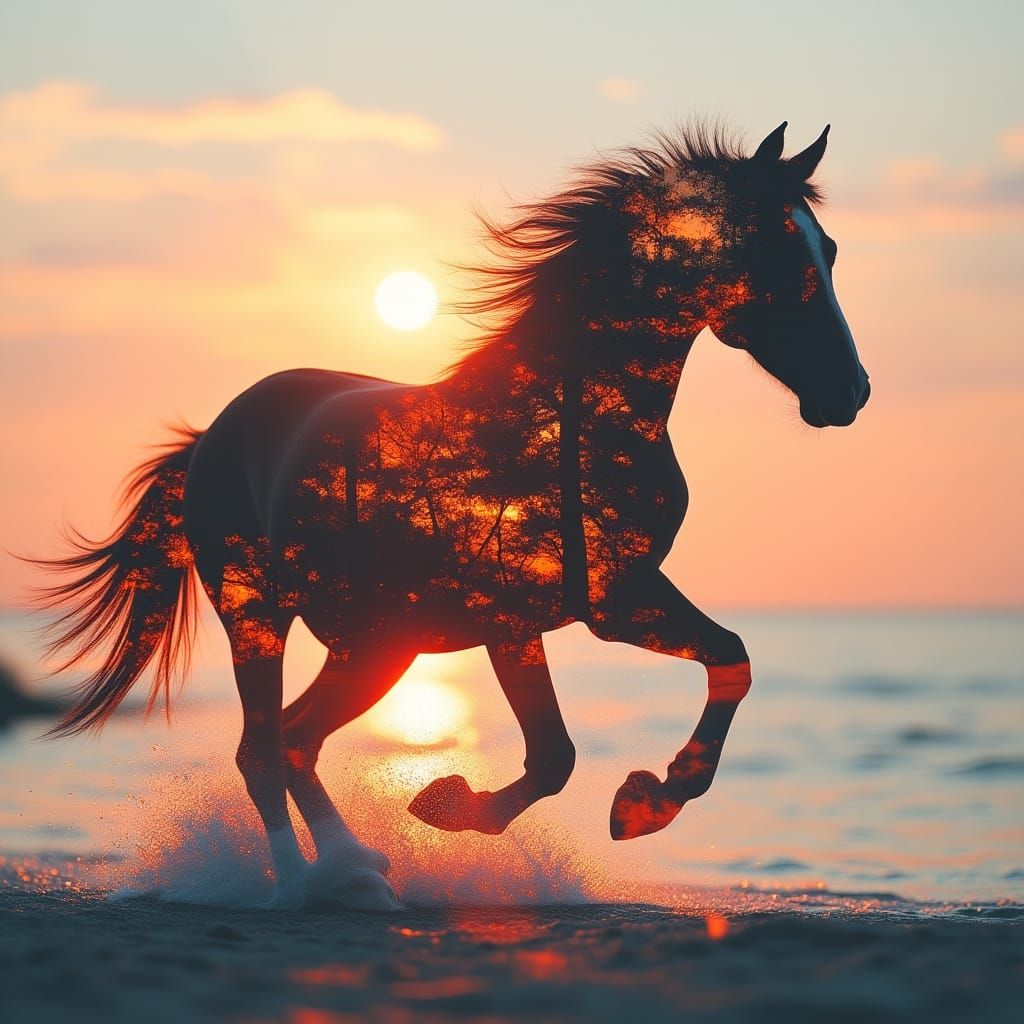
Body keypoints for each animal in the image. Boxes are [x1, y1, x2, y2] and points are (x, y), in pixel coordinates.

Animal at [35, 122, 869, 909]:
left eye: (827, 248)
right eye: (778, 252)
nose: (851, 392)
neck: (564, 419)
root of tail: (212, 433)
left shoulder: (606, 601)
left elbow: (723, 663)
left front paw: (642, 803)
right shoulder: (550, 616)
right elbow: (562, 752)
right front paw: (456, 804)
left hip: (377, 648)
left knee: (297, 742)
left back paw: (360, 872)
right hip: (259, 619)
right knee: (264, 751)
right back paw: (317, 881)